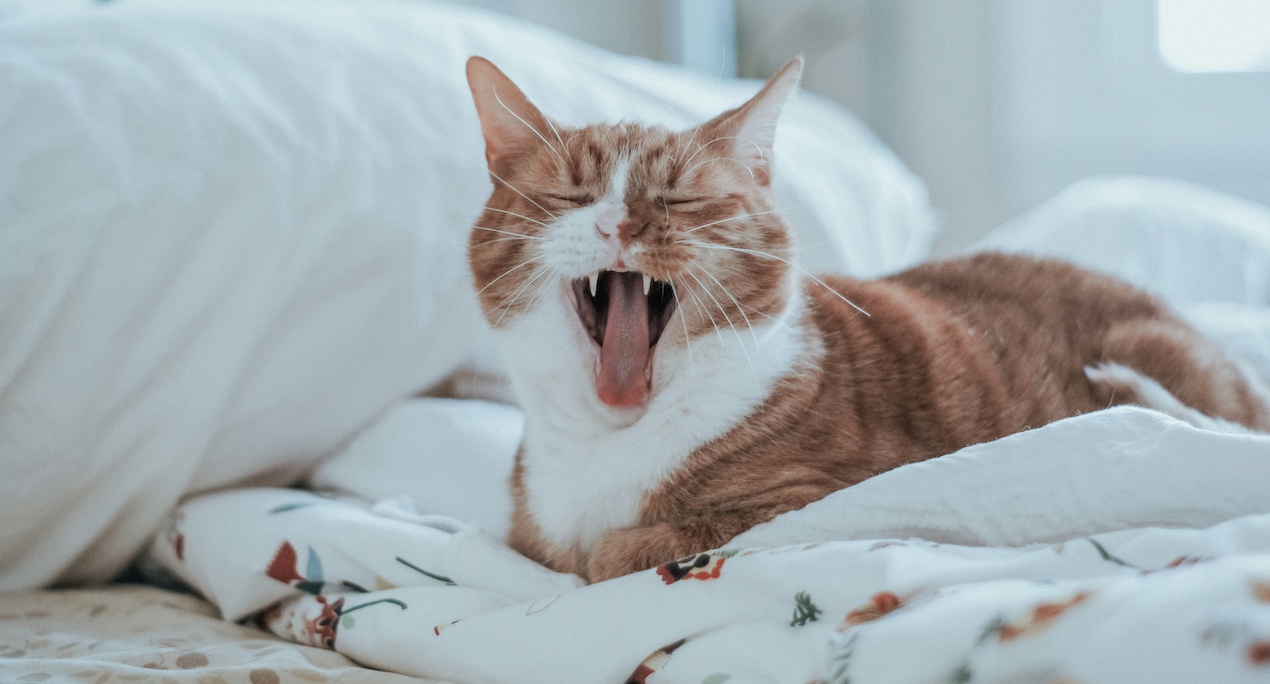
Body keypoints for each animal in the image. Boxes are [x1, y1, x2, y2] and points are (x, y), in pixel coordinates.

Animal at [464, 54, 1270, 583]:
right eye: (571, 197)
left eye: (682, 199)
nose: (622, 225)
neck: (607, 438)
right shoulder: (524, 531)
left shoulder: (835, 495)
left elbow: (616, 551)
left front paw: (605, 547)